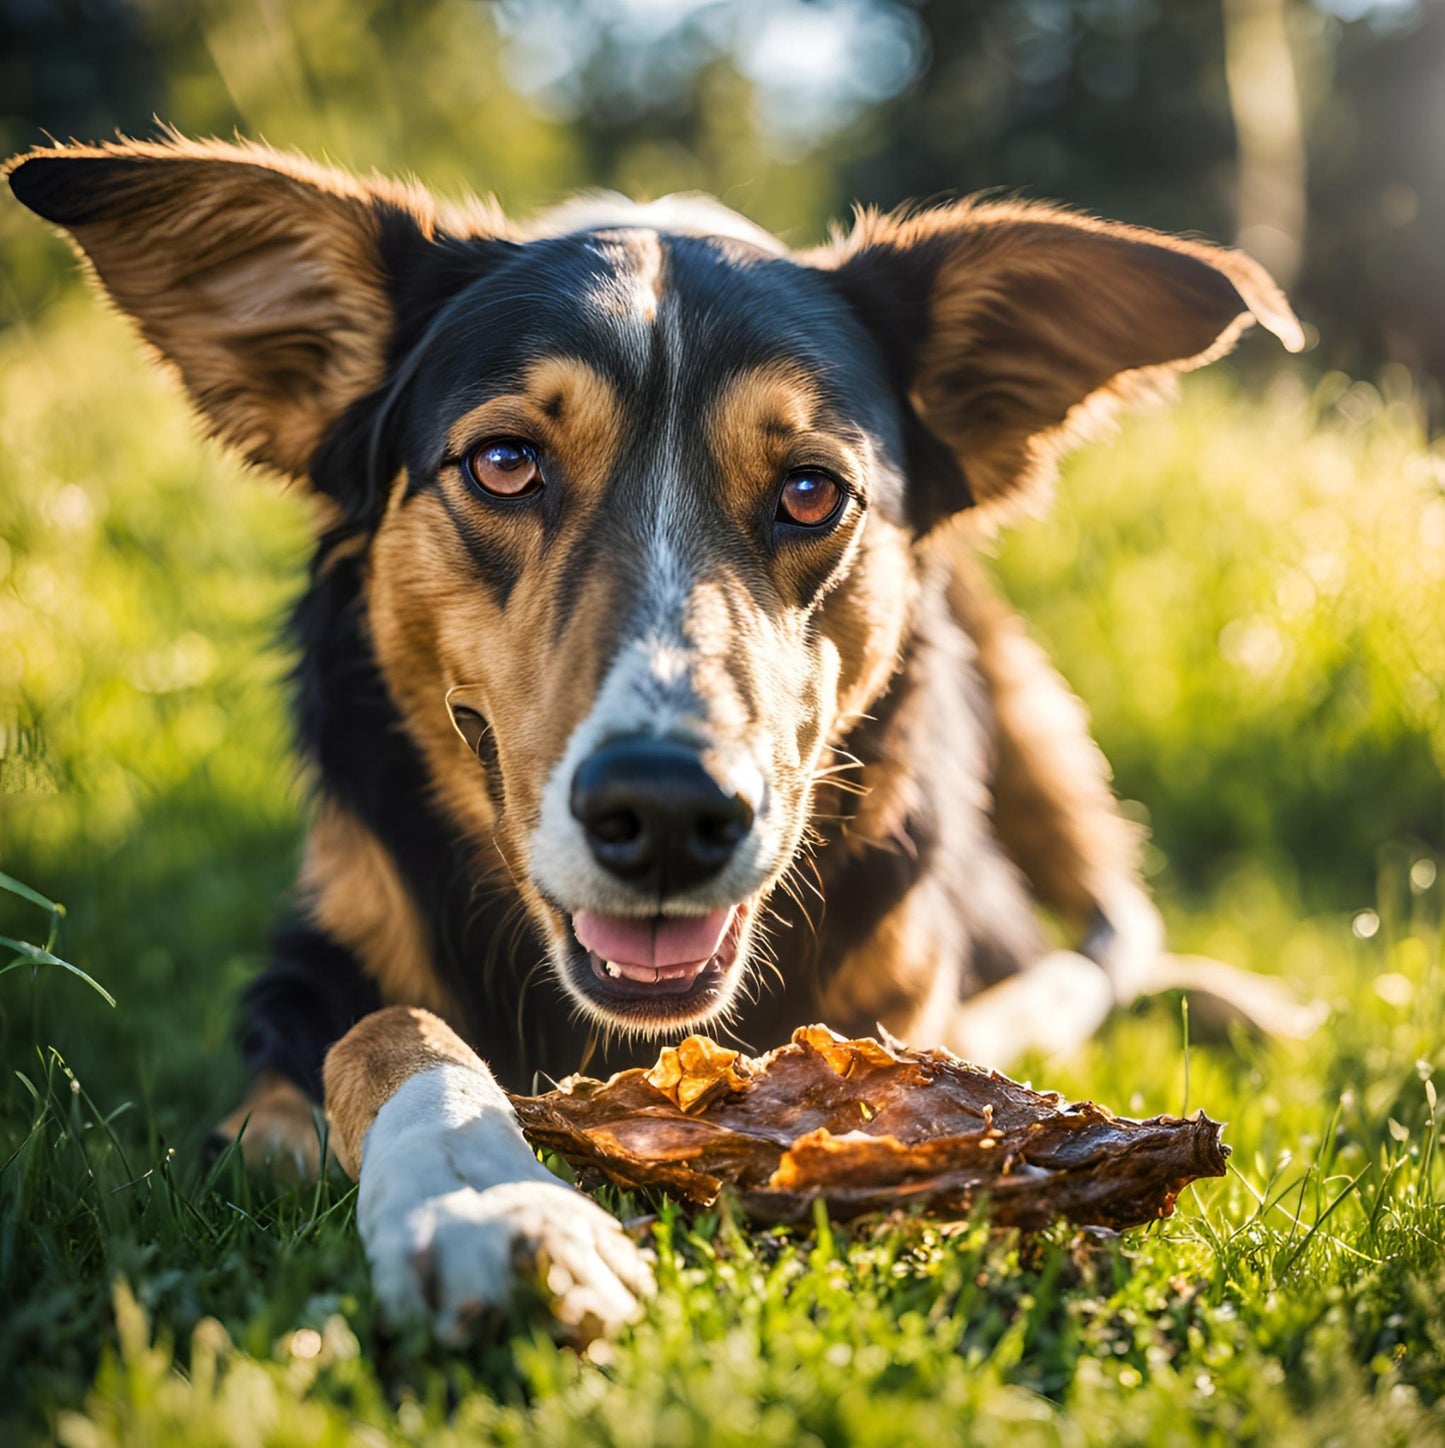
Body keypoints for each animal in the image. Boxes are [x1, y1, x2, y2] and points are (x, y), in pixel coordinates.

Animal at [5, 138, 1308, 1343]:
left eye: (810, 491)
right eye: (504, 462)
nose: (670, 811)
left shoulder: (911, 1010)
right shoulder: (301, 984)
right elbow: (387, 1028)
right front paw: (486, 1198)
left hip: (1031, 709)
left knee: (1112, 936)